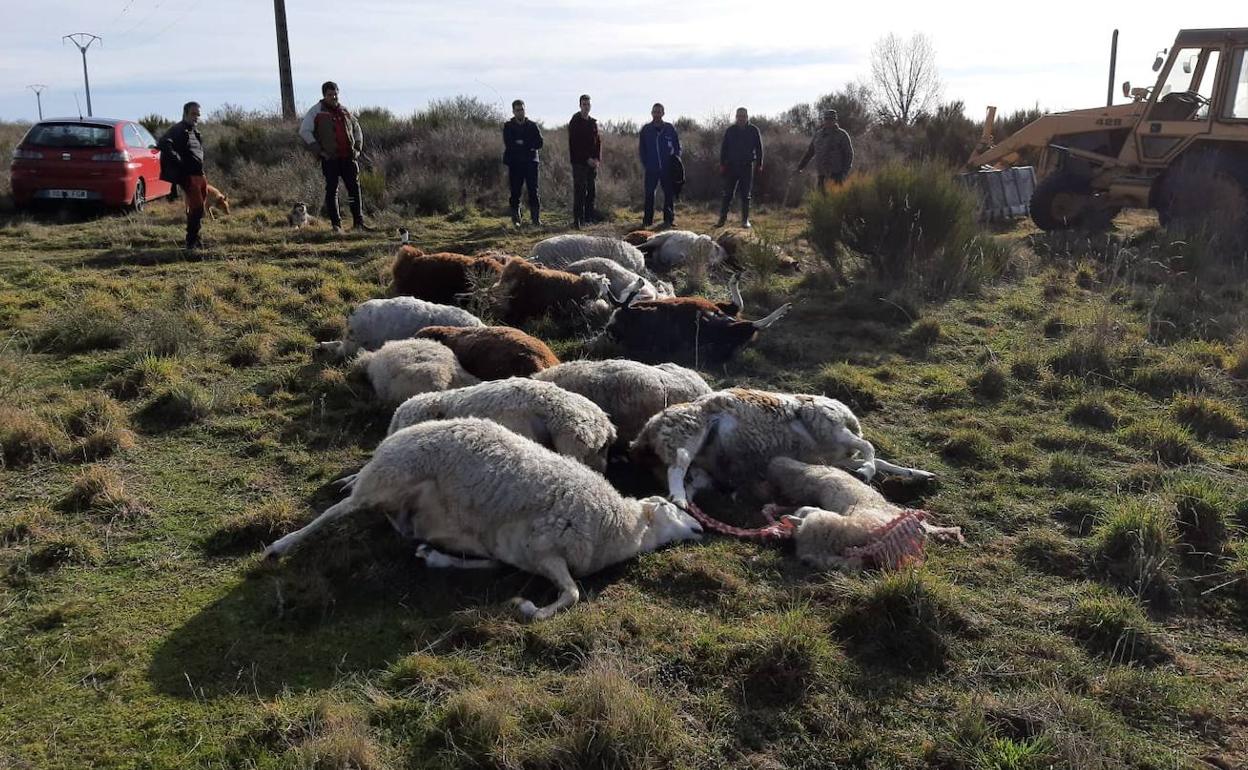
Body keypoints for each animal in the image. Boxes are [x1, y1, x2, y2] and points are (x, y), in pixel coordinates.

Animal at [316, 295, 481, 359]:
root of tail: (351, 318)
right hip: (353, 344)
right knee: (339, 349)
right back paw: (323, 346)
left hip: (353, 343)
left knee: (339, 346)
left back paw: (322, 345)